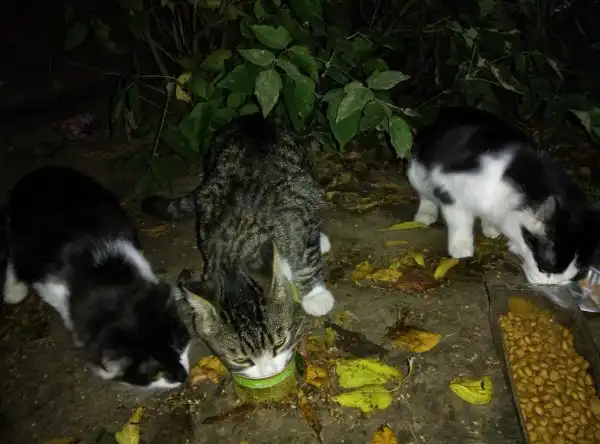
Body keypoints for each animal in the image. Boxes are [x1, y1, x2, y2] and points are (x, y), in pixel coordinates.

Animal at [141, 114, 333, 378]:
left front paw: (316, 295)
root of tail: (253, 118)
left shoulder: (296, 216)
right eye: (242, 359)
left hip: (306, 177)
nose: (268, 373)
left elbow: (306, 258)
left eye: (279, 343)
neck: (236, 251)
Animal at [407, 106, 600, 285]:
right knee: (426, 193)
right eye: (545, 270)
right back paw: (426, 213)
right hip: (415, 171)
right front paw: (461, 248)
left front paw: (491, 227)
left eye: (571, 277)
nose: (550, 284)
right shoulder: (449, 187)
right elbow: (460, 220)